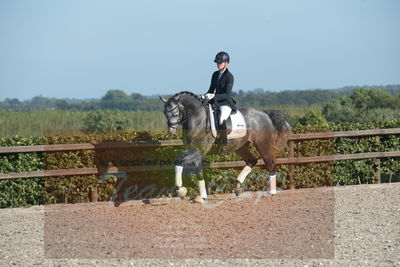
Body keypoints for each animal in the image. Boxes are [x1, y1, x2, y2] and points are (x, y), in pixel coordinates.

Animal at [159, 91, 290, 202]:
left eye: (174, 113)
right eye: (165, 113)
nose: (171, 132)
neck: (198, 120)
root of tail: (264, 113)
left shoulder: (199, 151)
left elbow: (181, 162)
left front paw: (181, 190)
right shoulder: (193, 151)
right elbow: (193, 169)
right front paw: (199, 195)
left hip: (262, 144)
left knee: (270, 163)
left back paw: (272, 192)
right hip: (240, 147)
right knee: (252, 161)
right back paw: (238, 188)